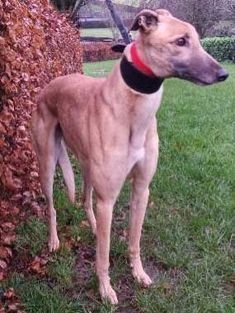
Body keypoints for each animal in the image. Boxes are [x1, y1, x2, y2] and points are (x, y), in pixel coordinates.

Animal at [30, 9, 228, 302]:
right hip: (46, 161)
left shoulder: (142, 188)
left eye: (198, 39)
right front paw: (105, 289)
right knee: (52, 206)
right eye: (181, 41)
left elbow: (134, 239)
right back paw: (54, 240)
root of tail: (50, 85)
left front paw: (139, 274)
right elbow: (103, 253)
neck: (133, 108)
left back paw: (92, 225)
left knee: (86, 200)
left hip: (87, 166)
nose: (224, 74)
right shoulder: (108, 197)